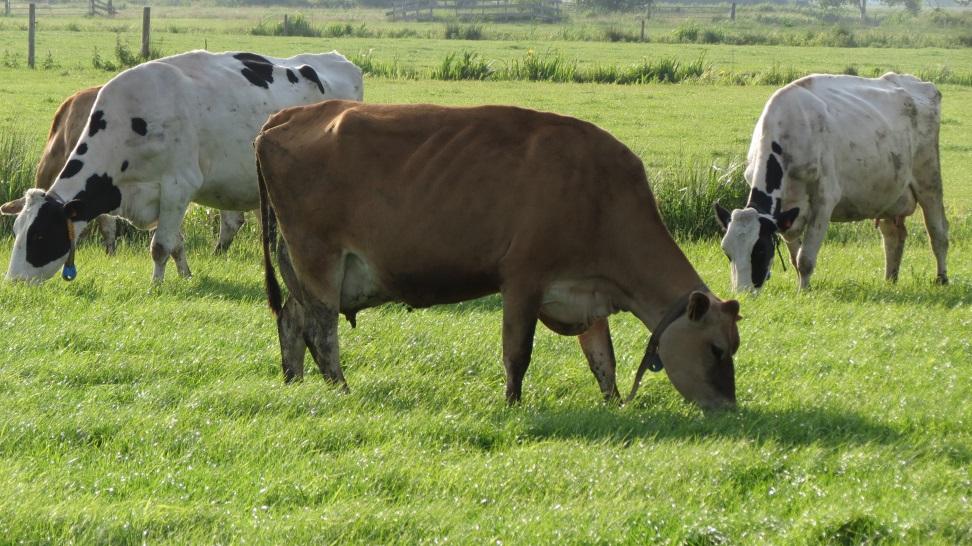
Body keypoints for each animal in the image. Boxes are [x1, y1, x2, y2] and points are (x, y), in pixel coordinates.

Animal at [1, 49, 362, 282]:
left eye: (40, 235)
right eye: (17, 230)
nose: (14, 281)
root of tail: (337, 59)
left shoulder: (178, 185)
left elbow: (159, 246)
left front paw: (156, 286)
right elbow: (175, 243)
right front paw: (186, 276)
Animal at [254, 101, 740, 408]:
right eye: (717, 349)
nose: (728, 407)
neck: (601, 195)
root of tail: (288, 115)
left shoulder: (585, 293)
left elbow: (603, 359)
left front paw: (615, 404)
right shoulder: (523, 280)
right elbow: (517, 352)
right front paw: (512, 404)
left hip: (299, 265)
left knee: (292, 321)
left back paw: (295, 384)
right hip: (318, 258)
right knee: (321, 332)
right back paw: (341, 390)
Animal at [712, 75, 948, 294]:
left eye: (760, 250)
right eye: (727, 252)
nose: (741, 292)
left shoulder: (824, 200)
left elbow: (805, 258)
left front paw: (803, 292)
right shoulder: (787, 213)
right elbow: (795, 257)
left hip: (929, 178)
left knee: (937, 231)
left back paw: (942, 279)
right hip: (888, 192)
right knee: (893, 236)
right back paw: (890, 280)